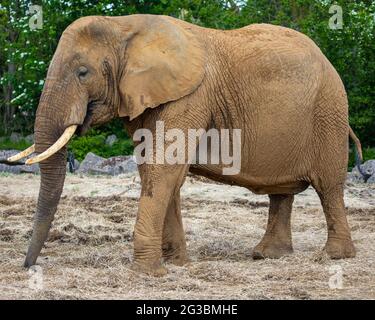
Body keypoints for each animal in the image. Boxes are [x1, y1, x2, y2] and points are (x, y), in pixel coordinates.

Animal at [11, 14, 364, 276]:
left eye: (83, 72)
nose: (29, 267)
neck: (124, 26)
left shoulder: (190, 96)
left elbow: (163, 168)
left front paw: (146, 273)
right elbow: (156, 170)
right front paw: (176, 264)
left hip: (329, 113)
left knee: (329, 186)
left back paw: (333, 257)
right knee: (282, 192)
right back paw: (267, 256)